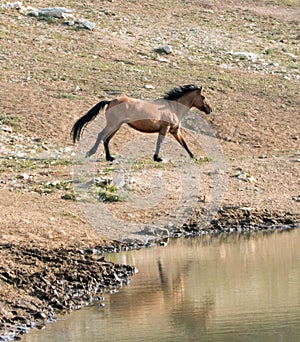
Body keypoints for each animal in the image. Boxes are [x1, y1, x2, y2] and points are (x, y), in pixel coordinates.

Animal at [71, 84, 212, 162]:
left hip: (116, 126)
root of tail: (110, 101)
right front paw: (157, 158)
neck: (173, 108)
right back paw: (91, 153)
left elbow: (184, 144)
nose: (210, 109)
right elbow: (160, 143)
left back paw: (109, 158)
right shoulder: (165, 129)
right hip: (113, 124)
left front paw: (193, 157)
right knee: (101, 135)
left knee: (106, 139)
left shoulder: (174, 131)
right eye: (203, 97)